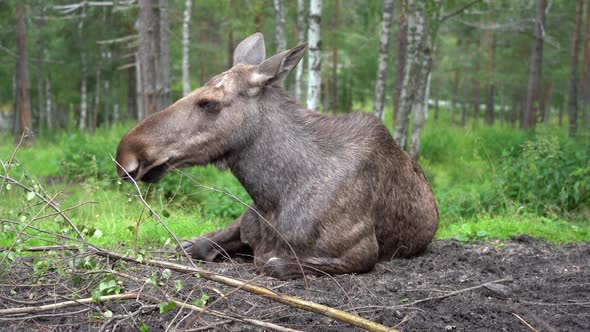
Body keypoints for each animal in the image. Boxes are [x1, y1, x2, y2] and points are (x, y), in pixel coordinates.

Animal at [117, 33, 440, 280]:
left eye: (209, 103)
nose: (126, 152)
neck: (273, 196)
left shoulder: (361, 254)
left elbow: (270, 263)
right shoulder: (249, 218)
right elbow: (205, 246)